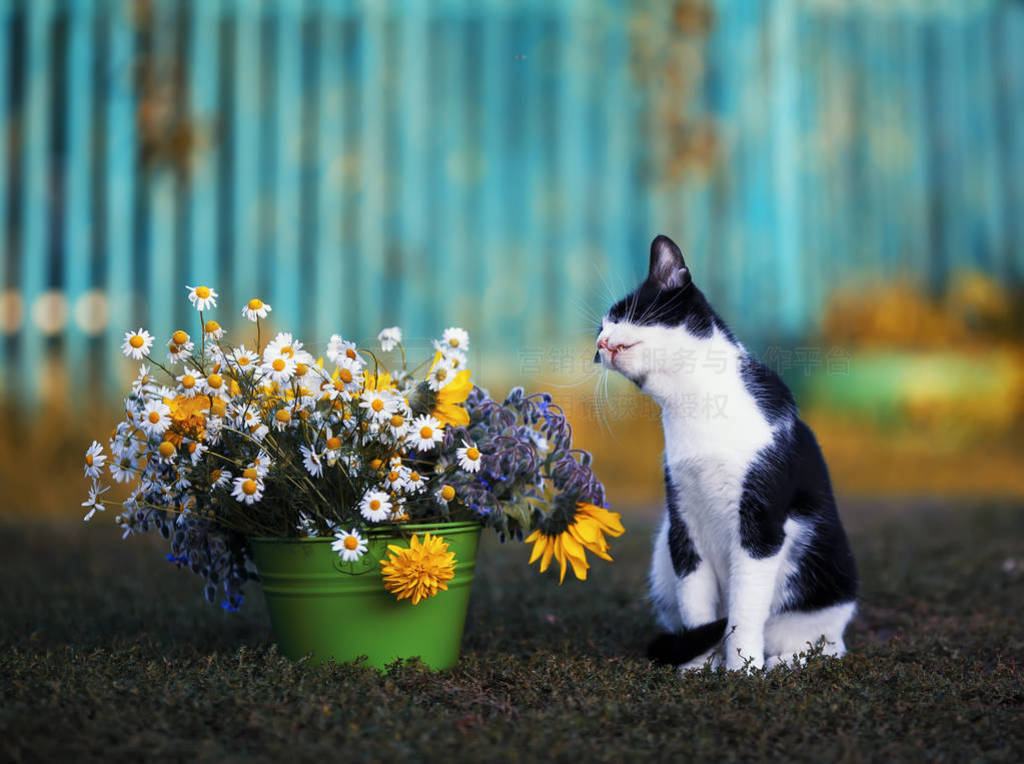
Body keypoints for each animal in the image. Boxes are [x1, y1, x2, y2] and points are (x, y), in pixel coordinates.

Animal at [598, 235, 856, 667]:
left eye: (622, 315)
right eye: (599, 331)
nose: (599, 344)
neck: (694, 403)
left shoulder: (760, 525)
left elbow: (744, 610)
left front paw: (742, 669)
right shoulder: (684, 524)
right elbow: (697, 607)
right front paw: (697, 668)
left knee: (827, 644)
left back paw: (784, 661)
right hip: (662, 553)